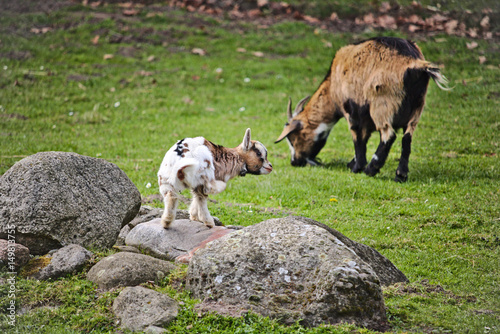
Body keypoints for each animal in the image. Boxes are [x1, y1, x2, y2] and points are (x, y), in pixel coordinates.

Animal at [276, 37, 452, 183]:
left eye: (292, 138)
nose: (294, 161)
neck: (333, 85)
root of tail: (415, 65)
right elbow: (365, 137)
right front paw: (352, 163)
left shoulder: (352, 110)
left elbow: (357, 137)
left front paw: (357, 167)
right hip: (416, 108)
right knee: (407, 138)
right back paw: (400, 175)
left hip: (382, 104)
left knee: (388, 135)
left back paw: (371, 169)